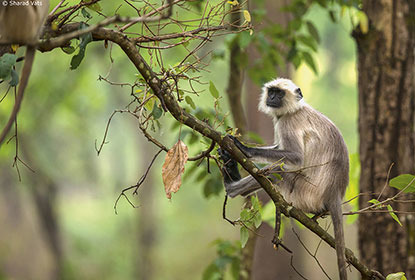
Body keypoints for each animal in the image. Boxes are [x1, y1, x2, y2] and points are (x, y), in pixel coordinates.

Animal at [221, 77, 352, 280]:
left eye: (280, 93)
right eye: (272, 92)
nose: (272, 98)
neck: (295, 109)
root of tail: (335, 192)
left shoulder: (288, 122)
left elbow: (295, 158)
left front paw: (244, 149)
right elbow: (277, 148)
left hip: (305, 193)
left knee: (277, 171)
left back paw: (231, 186)